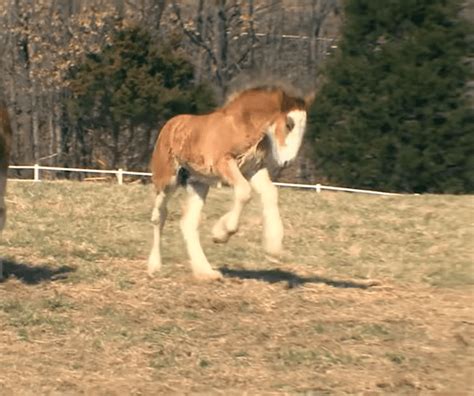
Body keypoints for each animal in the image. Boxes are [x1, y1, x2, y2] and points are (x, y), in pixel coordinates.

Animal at [146, 85, 312, 280]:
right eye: (289, 124)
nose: (288, 161)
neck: (241, 125)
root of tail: (169, 126)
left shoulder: (253, 168)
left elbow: (270, 192)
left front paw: (273, 246)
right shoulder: (223, 163)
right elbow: (244, 192)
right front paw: (221, 233)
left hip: (198, 183)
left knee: (188, 222)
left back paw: (206, 272)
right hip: (167, 180)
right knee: (159, 215)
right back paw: (154, 266)